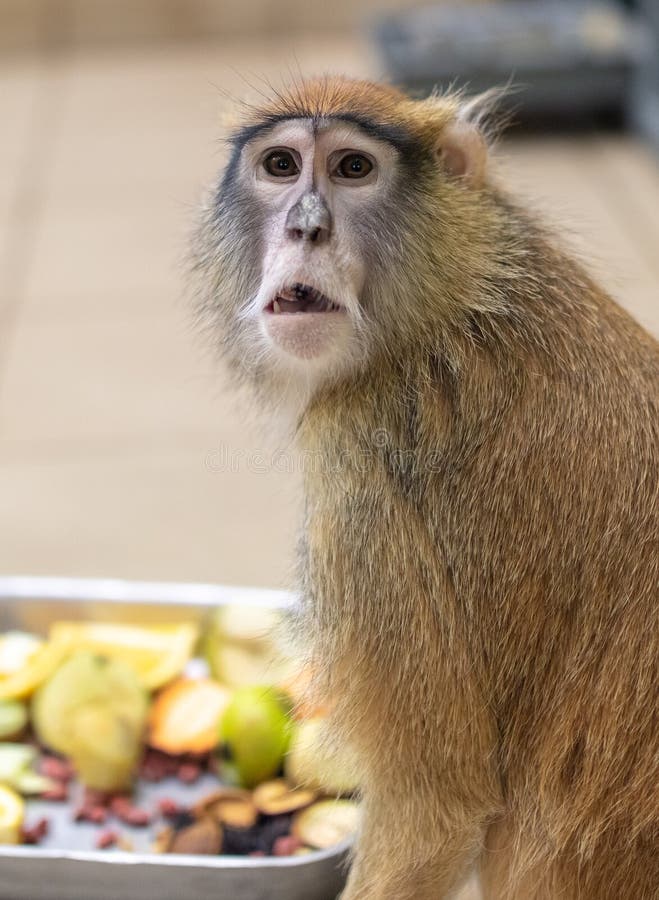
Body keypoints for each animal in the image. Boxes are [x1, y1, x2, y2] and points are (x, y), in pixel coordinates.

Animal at [190, 77, 659, 899]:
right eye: (280, 165)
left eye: (352, 168)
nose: (306, 228)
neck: (458, 299)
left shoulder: (359, 463)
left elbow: (434, 810)